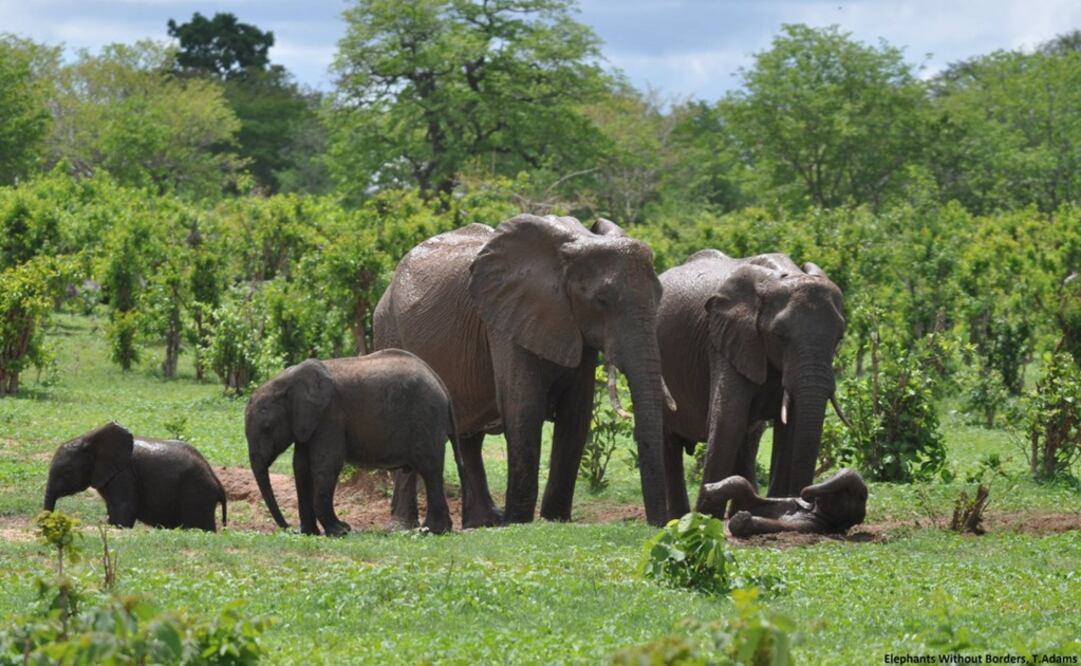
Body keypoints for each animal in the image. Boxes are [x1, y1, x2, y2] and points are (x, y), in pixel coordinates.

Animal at [43, 422, 226, 531]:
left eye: (67, 472)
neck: (89, 440)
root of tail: (218, 482)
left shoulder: (124, 474)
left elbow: (124, 508)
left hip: (197, 493)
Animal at [245, 349, 461, 536]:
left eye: (267, 428)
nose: (288, 528)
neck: (286, 381)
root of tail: (440, 383)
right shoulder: (307, 422)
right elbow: (301, 467)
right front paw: (309, 533)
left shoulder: (330, 414)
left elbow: (326, 464)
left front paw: (340, 531)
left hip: (426, 416)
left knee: (430, 469)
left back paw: (431, 531)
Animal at [374, 215, 672, 527]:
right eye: (601, 300)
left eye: (659, 296)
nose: (658, 524)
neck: (573, 246)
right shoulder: (504, 320)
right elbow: (524, 408)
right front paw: (518, 522)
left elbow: (576, 414)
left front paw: (554, 519)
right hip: (388, 328)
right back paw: (406, 526)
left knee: (469, 437)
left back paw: (482, 523)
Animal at [657, 250, 845, 519]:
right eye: (780, 336)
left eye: (839, 337)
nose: (807, 501)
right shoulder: (725, 341)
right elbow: (728, 419)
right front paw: (705, 518)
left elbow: (790, 427)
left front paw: (777, 510)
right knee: (670, 441)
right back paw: (675, 519)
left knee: (748, 438)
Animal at [697, 468, 867, 537]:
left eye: (848, 495)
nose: (805, 496)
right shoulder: (788, 502)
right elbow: (742, 484)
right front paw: (707, 496)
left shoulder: (813, 525)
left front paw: (741, 518)